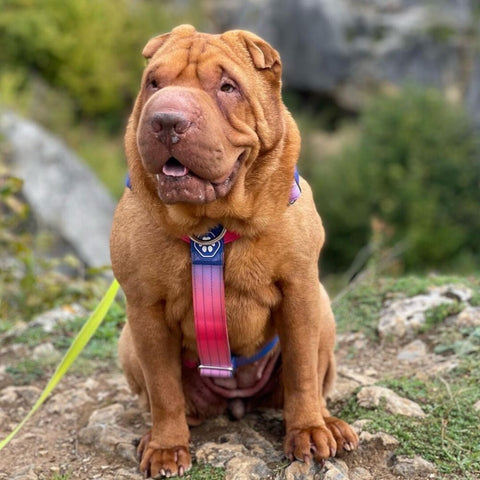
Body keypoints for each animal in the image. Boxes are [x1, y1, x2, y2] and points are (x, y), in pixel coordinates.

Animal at [110, 24, 358, 478]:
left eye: (227, 87)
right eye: (154, 83)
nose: (166, 120)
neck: (209, 230)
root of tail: (237, 398)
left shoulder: (299, 293)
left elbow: (302, 372)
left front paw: (309, 432)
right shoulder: (145, 310)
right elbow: (163, 387)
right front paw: (167, 447)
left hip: (323, 311)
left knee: (313, 379)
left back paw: (329, 423)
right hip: (127, 339)